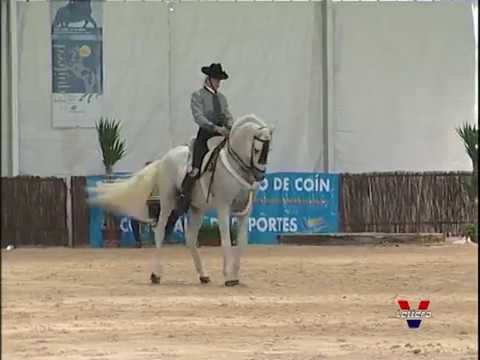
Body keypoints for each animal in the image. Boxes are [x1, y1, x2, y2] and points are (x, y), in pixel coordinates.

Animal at [88, 114, 272, 286]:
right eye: (257, 150)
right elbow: (226, 240)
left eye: (268, 150)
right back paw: (156, 275)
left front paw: (235, 276)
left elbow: (242, 243)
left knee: (190, 238)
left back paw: (203, 275)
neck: (236, 166)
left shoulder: (244, 211)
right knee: (160, 231)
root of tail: (163, 159)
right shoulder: (223, 207)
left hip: (196, 209)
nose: (260, 176)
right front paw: (228, 277)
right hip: (168, 202)